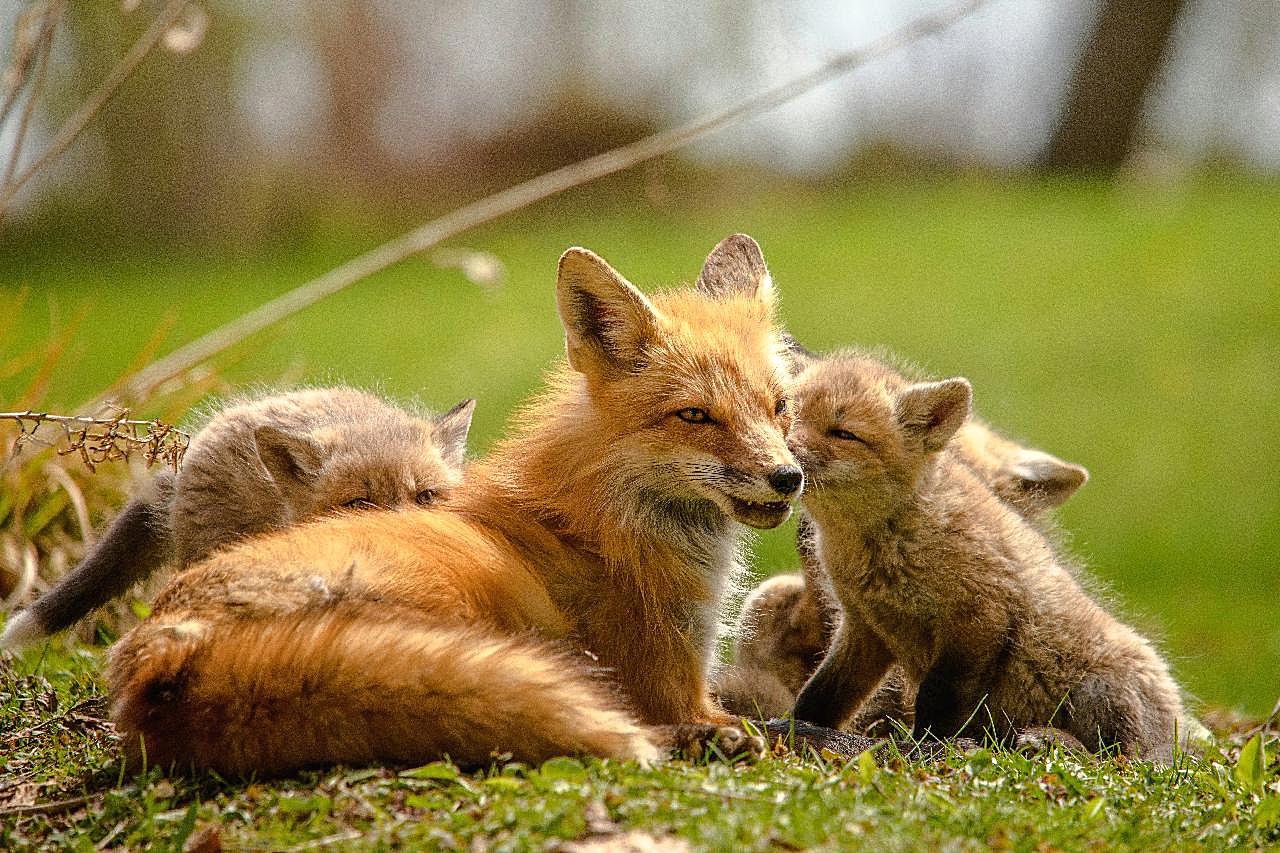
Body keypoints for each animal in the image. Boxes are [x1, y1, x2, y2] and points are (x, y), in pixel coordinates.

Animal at [107, 235, 798, 773]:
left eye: (779, 406)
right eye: (695, 416)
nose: (788, 477)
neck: (603, 525)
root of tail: (160, 658)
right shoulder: (673, 685)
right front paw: (725, 734)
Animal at [788, 350, 1187, 758]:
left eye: (843, 433)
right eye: (786, 413)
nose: (784, 460)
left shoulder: (979, 619)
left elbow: (937, 703)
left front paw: (927, 749)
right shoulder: (866, 627)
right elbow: (820, 695)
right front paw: (796, 729)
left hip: (1102, 692)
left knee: (1117, 757)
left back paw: (1049, 739)